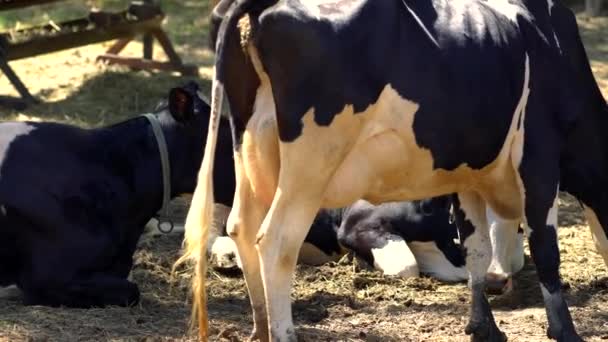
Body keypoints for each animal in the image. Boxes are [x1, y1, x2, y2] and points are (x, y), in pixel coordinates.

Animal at [184, 1, 608, 340]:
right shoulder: (539, 162)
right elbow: (546, 251)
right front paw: (565, 331)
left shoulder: (469, 176)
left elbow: (476, 251)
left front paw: (483, 326)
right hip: (309, 168)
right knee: (275, 242)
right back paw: (283, 332)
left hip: (252, 150)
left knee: (242, 226)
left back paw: (260, 328)